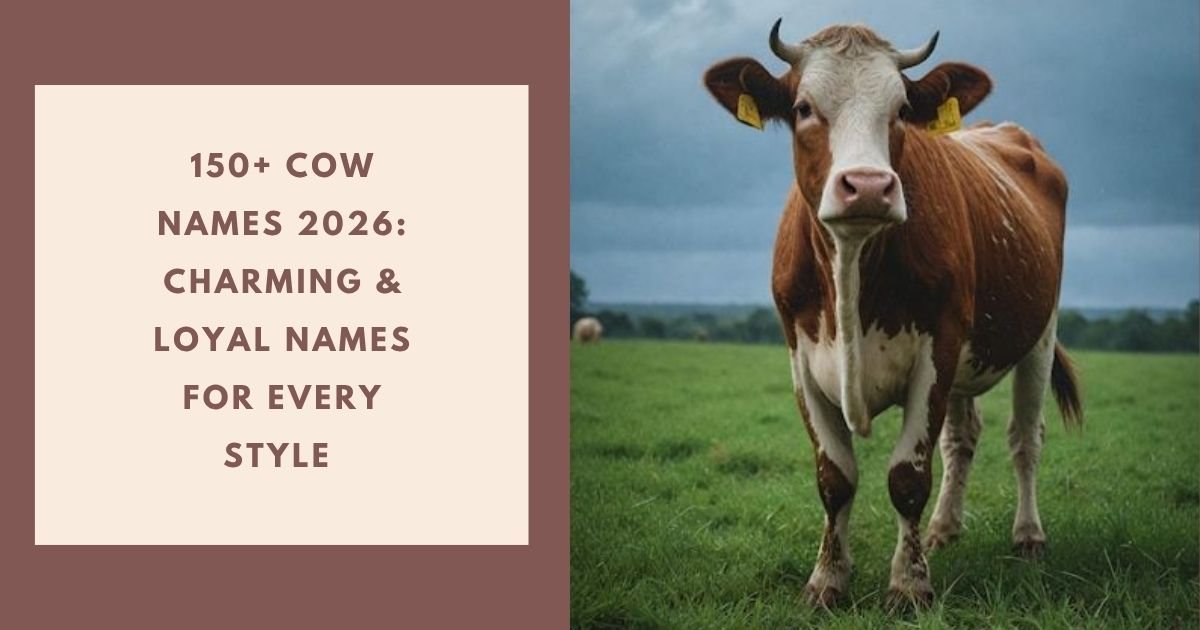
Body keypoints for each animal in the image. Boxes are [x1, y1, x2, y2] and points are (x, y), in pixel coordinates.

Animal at [703, 21, 1082, 607]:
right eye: (804, 107)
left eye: (902, 109)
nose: (867, 186)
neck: (853, 268)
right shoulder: (800, 358)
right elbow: (835, 477)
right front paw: (827, 581)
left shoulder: (937, 350)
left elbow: (907, 477)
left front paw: (909, 584)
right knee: (962, 439)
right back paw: (944, 529)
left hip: (1039, 334)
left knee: (1025, 439)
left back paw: (1028, 537)